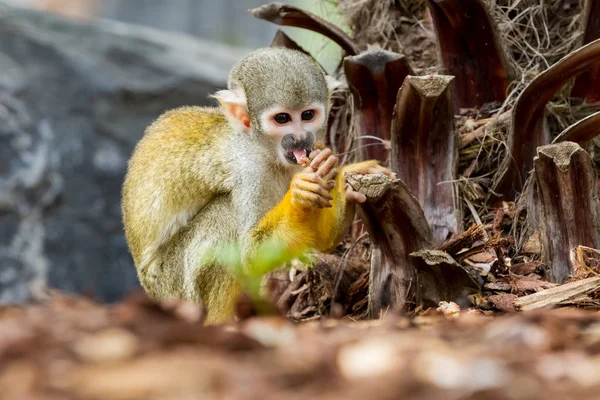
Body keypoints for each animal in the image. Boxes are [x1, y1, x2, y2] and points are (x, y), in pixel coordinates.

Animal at [122, 47, 394, 324]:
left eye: (307, 115)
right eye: (282, 119)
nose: (300, 138)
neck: (266, 152)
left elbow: (319, 241)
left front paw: (344, 178)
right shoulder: (250, 169)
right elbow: (251, 255)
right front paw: (299, 196)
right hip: (173, 287)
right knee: (225, 215)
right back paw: (219, 321)